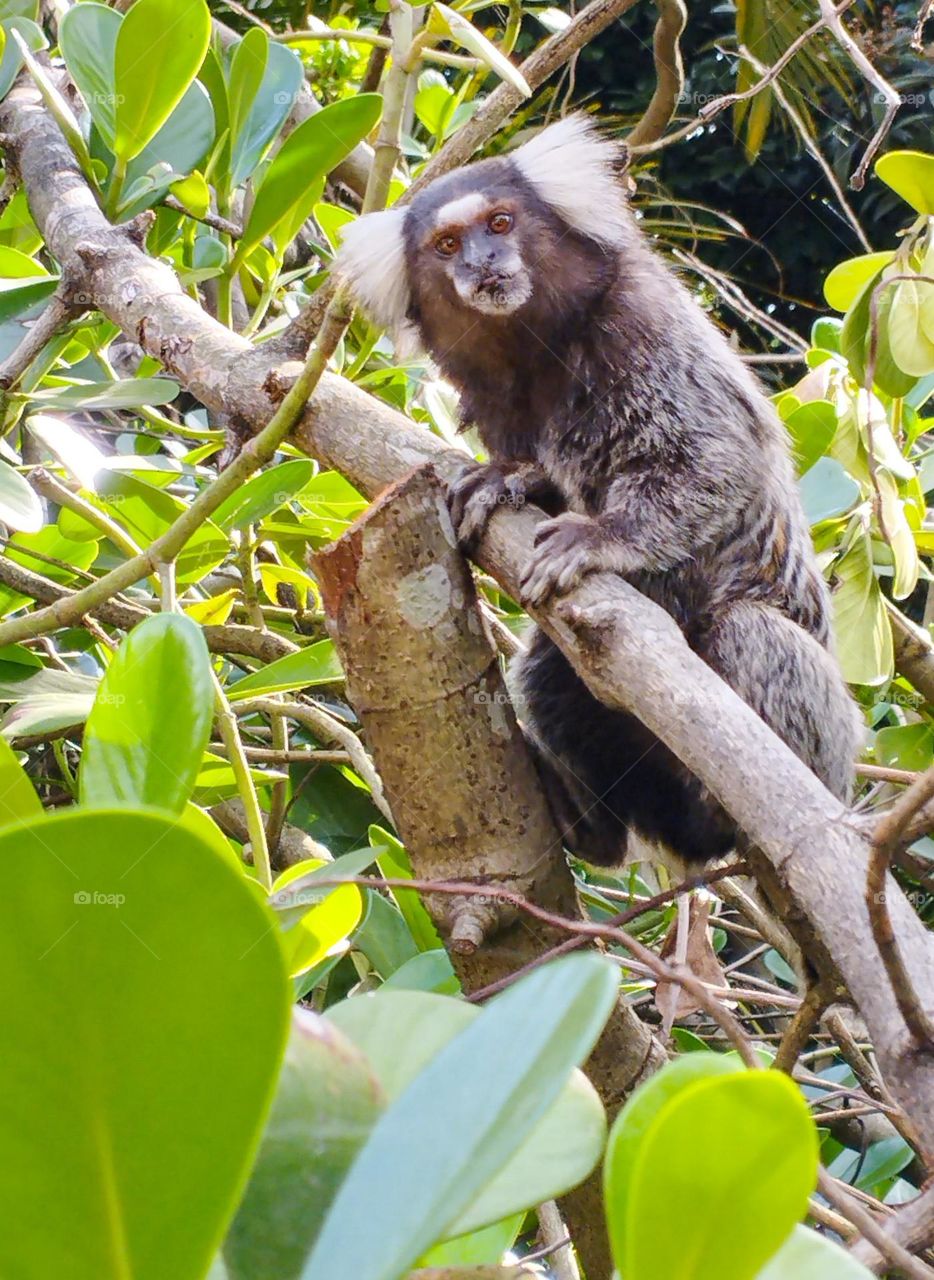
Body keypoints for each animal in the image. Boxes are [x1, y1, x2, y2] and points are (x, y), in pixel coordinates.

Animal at [334, 115, 863, 868]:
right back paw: (588, 827)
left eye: (501, 222)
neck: (537, 350)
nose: (483, 263)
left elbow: (717, 459)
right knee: (551, 671)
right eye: (447, 245)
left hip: (822, 756)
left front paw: (601, 537)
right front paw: (510, 479)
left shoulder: (642, 324)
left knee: (752, 633)